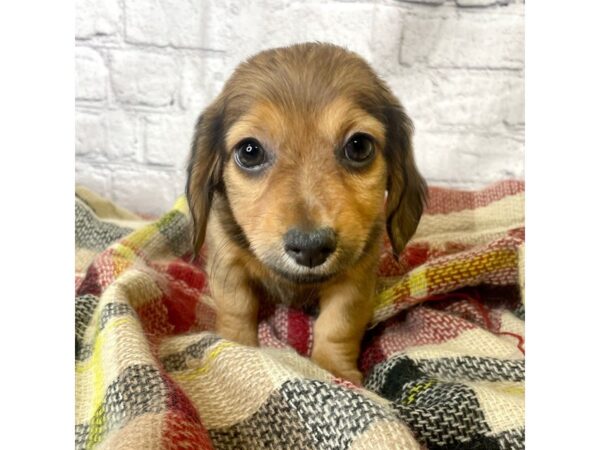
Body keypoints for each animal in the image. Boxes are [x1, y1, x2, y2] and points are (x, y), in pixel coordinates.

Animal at [185, 42, 424, 384]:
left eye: (359, 146)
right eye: (249, 151)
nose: (311, 248)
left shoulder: (356, 277)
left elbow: (338, 325)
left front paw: (334, 369)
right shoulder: (227, 263)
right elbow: (237, 307)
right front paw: (238, 348)